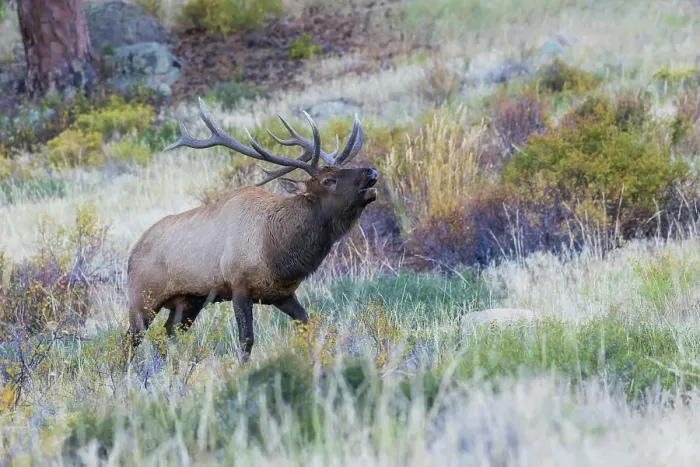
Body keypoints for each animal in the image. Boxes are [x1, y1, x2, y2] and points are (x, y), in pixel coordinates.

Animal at [124, 98, 378, 363]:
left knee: (168, 335)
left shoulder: (281, 294)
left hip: (188, 302)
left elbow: (306, 323)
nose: (371, 171)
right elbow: (246, 340)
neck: (278, 252)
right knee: (130, 341)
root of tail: (131, 253)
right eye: (328, 181)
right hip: (142, 297)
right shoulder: (239, 286)